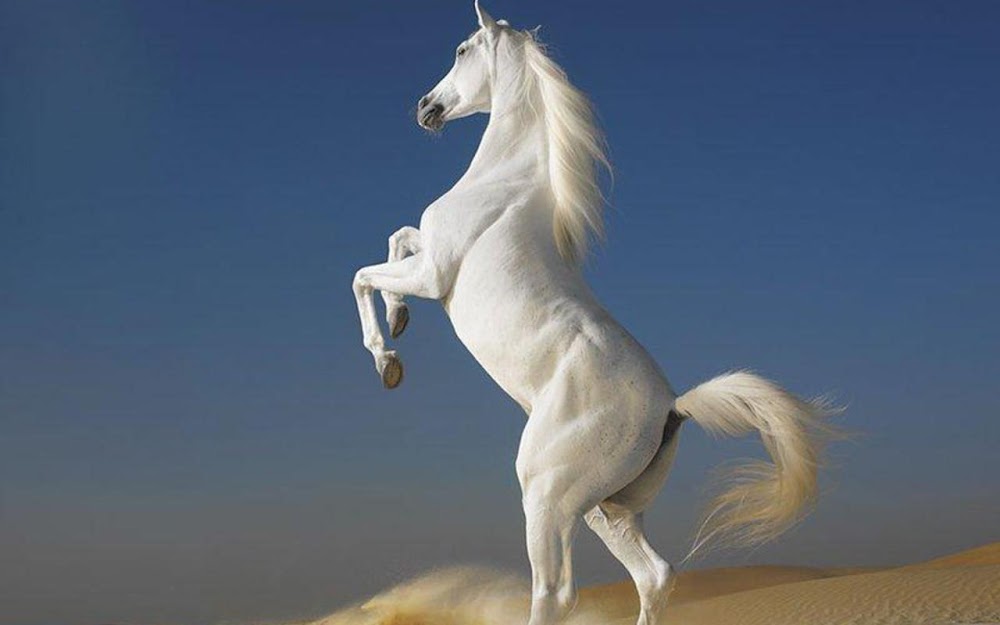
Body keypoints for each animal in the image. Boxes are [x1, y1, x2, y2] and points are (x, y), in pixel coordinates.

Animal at [352, 4, 837, 624]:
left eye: (462, 50)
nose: (425, 108)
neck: (505, 183)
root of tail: (672, 407)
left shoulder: (435, 274)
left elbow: (364, 272)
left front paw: (387, 359)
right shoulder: (426, 256)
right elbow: (396, 238)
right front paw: (399, 322)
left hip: (547, 494)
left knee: (557, 591)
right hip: (604, 508)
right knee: (654, 576)